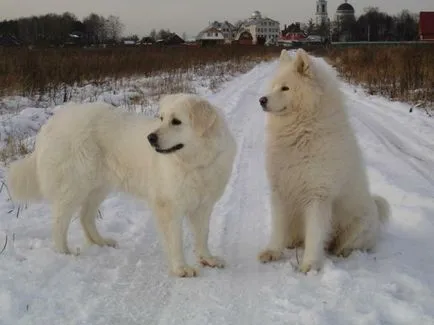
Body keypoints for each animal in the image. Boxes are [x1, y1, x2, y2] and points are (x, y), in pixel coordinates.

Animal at [7, 93, 237, 276]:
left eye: (176, 122)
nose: (150, 138)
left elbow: (203, 235)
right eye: (161, 118)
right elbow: (175, 240)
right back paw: (65, 252)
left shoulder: (203, 205)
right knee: (59, 222)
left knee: (85, 217)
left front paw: (207, 258)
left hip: (99, 187)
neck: (196, 163)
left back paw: (101, 242)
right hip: (74, 186)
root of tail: (52, 123)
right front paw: (181, 268)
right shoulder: (169, 206)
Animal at [258, 49, 390, 272]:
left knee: (345, 245)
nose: (262, 100)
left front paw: (310, 265)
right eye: (274, 86)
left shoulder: (318, 196)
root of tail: (374, 207)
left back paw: (342, 253)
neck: (301, 132)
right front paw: (272, 251)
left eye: (285, 88)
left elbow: (315, 234)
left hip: (356, 229)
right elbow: (277, 227)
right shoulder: (280, 190)